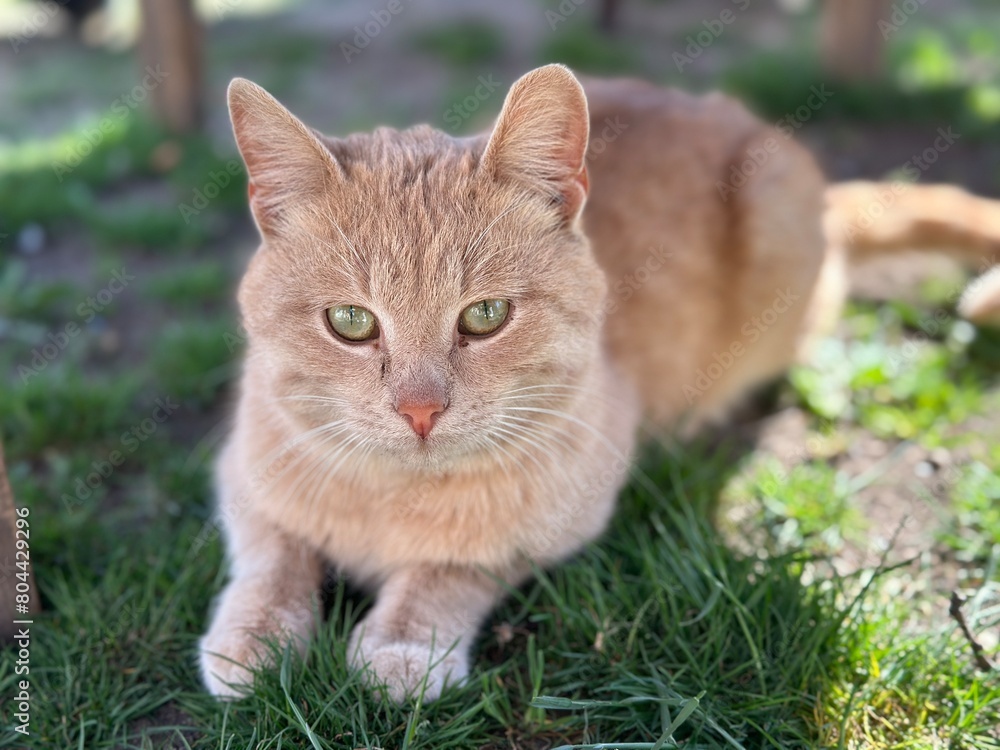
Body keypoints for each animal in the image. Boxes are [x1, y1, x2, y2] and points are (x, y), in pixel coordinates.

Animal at [199, 64, 1000, 704]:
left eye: (485, 316)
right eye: (350, 322)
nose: (420, 410)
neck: (395, 499)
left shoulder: (559, 521)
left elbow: (449, 571)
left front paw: (401, 643)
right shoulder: (244, 478)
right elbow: (273, 558)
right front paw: (253, 639)